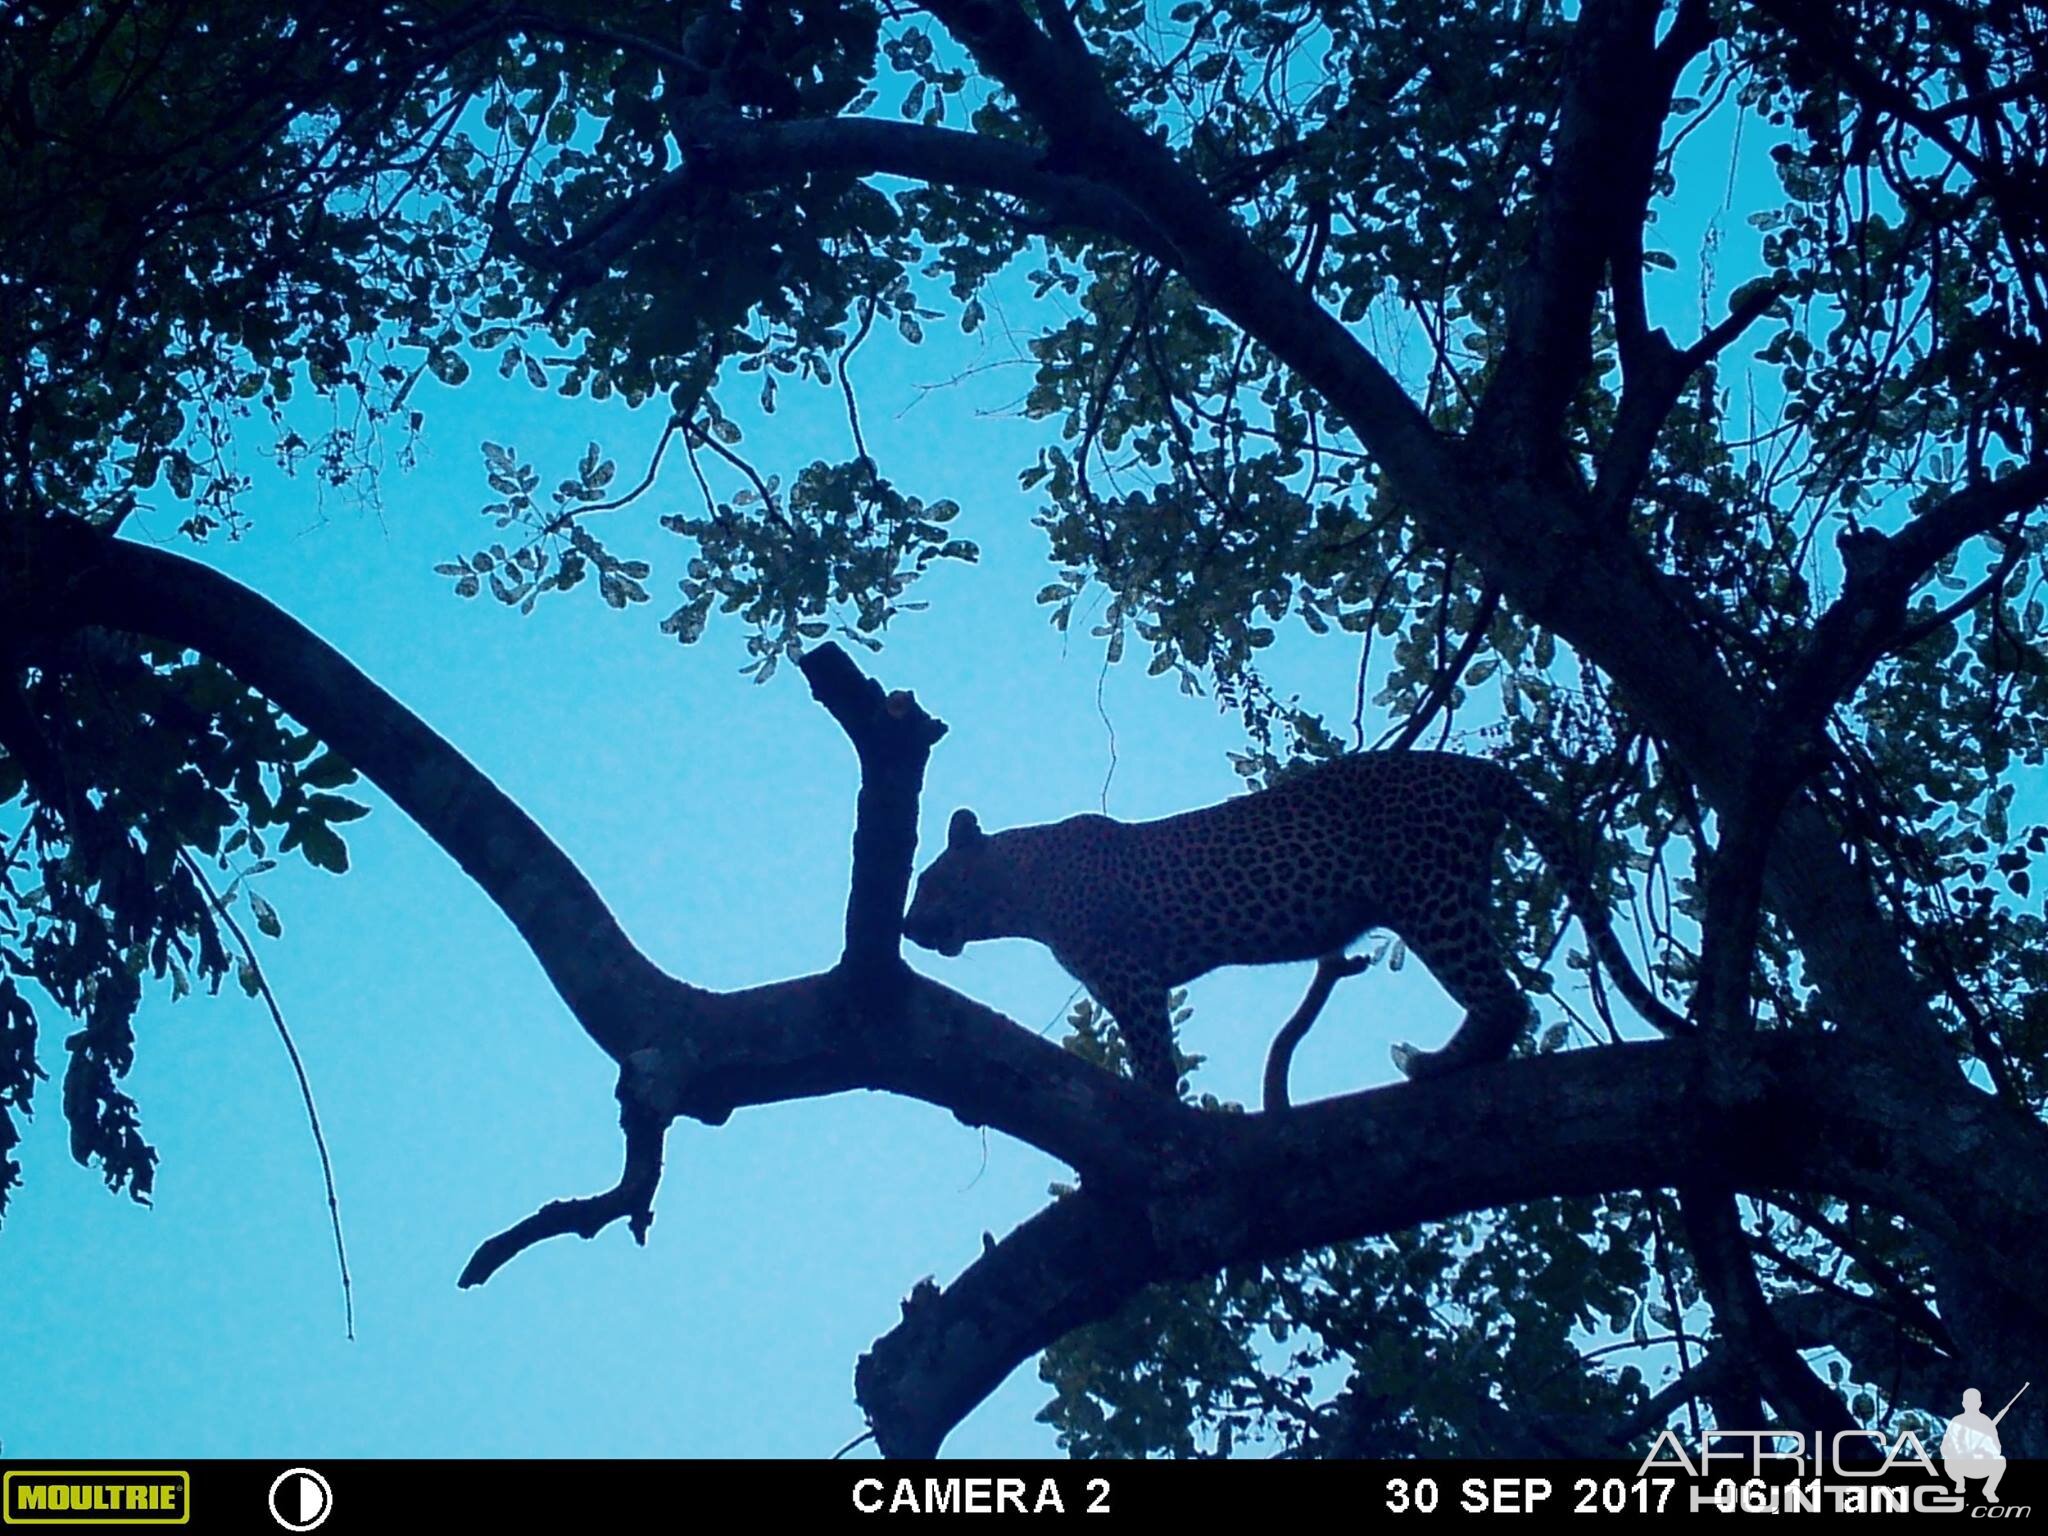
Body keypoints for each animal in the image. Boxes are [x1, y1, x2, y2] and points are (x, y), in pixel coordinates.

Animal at [897, 749, 1679, 1097]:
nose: (904, 927)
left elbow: (1152, 1052)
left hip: (1427, 894)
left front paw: (1153, 1097)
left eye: (928, 883)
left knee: (1503, 998)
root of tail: (1475, 767)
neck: (1021, 887)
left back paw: (1435, 1064)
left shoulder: (1126, 968)